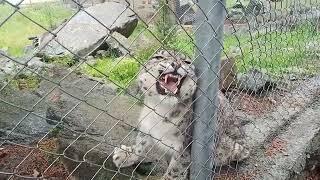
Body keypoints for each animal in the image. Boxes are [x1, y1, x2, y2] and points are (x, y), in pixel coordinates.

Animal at [112, 49, 250, 179]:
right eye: (159, 57)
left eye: (186, 62)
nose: (177, 64)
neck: (161, 109)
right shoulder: (147, 127)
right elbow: (140, 144)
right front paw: (124, 155)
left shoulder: (185, 146)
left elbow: (175, 170)